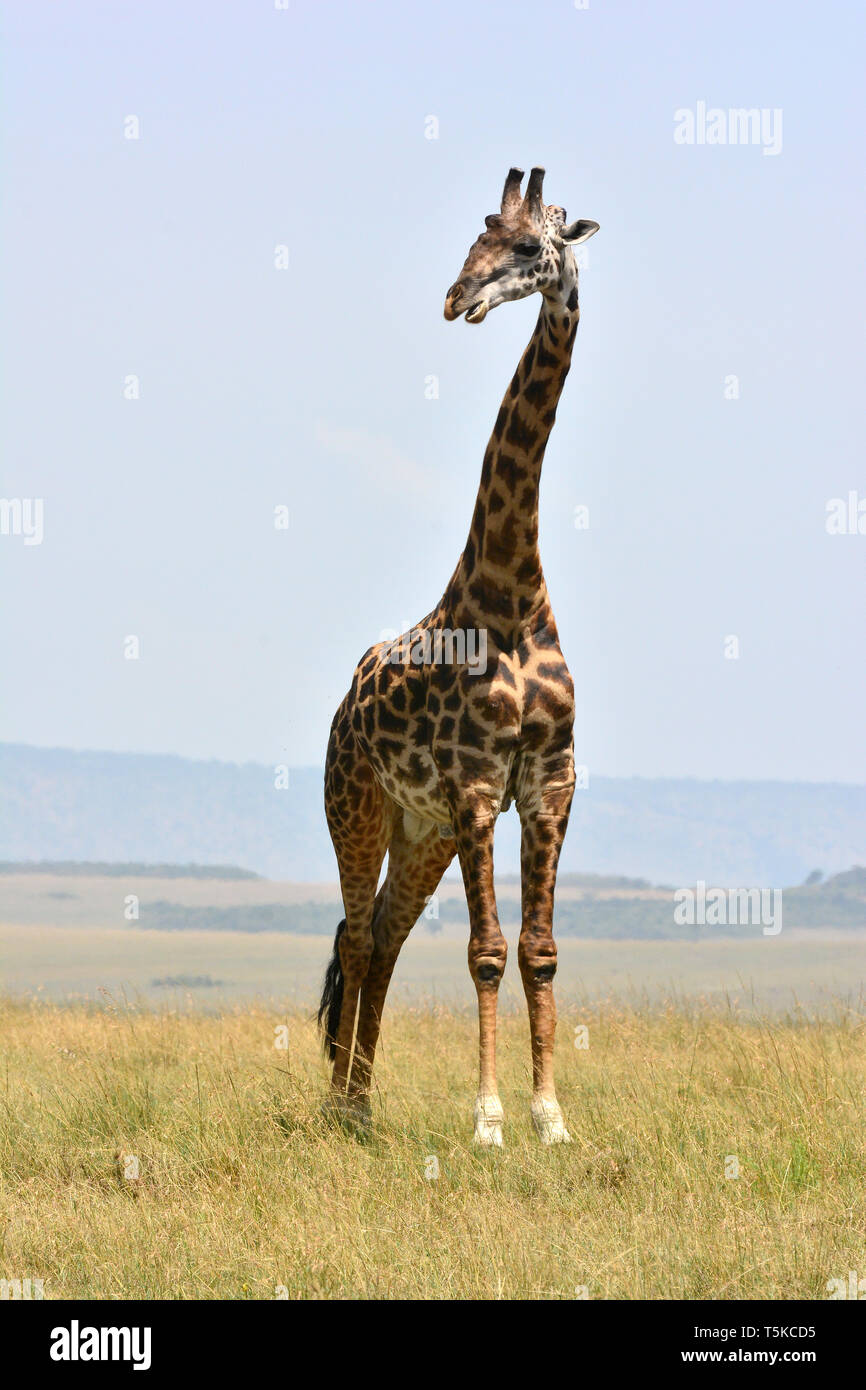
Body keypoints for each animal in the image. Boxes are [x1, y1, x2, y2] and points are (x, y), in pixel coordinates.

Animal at [322, 168, 600, 1145]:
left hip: (422, 832)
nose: (456, 298)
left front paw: (550, 1118)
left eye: (527, 246)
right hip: (359, 807)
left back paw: (362, 1103)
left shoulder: (547, 782)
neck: (512, 596)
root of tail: (342, 705)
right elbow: (485, 953)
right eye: (474, 238)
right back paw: (341, 1106)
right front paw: (487, 1122)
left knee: (382, 937)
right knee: (354, 934)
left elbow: (540, 952)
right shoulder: (478, 786)